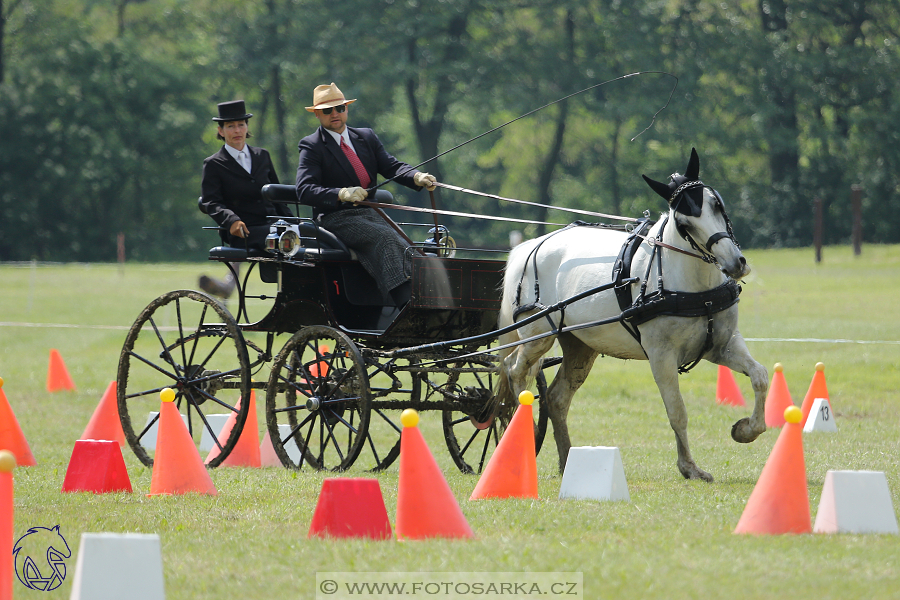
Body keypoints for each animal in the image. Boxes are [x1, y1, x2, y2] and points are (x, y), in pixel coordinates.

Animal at [500, 150, 768, 482]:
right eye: (684, 223)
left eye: (716, 203)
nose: (735, 264)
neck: (694, 288)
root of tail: (527, 247)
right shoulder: (661, 356)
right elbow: (677, 411)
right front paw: (689, 467)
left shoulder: (723, 346)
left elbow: (760, 376)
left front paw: (746, 429)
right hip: (538, 336)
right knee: (515, 370)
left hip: (580, 346)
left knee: (557, 398)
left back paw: (566, 461)